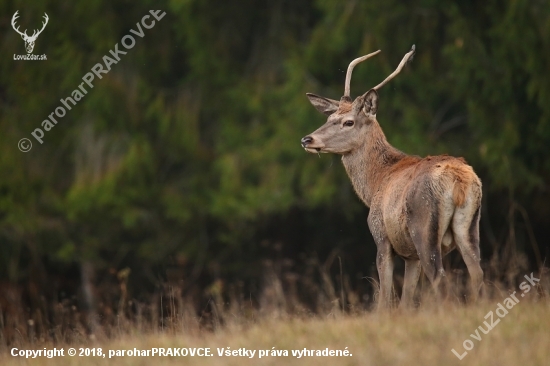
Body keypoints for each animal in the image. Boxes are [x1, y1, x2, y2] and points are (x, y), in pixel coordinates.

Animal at [302, 45, 484, 308]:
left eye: (349, 122)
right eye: (328, 118)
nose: (307, 139)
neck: (375, 183)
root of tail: (458, 181)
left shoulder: (382, 238)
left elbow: (385, 297)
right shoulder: (410, 256)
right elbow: (406, 300)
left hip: (424, 229)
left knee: (440, 278)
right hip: (469, 226)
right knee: (477, 273)